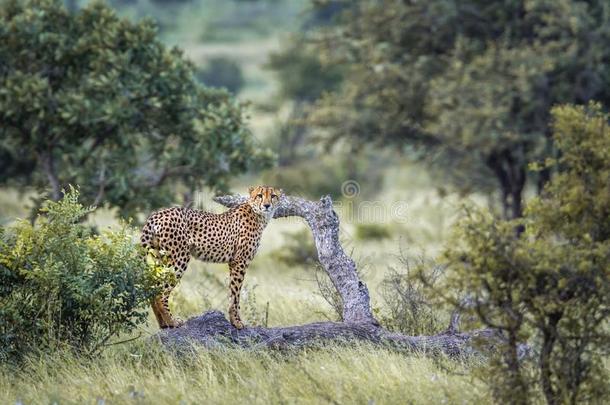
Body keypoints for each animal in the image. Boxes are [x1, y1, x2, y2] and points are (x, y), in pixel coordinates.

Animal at [141, 184, 282, 328]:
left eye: (273, 196)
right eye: (259, 195)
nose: (267, 205)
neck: (258, 214)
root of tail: (157, 214)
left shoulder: (234, 262)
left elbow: (232, 292)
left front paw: (234, 320)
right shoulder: (239, 261)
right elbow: (235, 294)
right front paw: (237, 322)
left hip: (159, 258)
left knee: (154, 290)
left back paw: (163, 324)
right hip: (179, 258)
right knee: (161, 293)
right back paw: (172, 321)